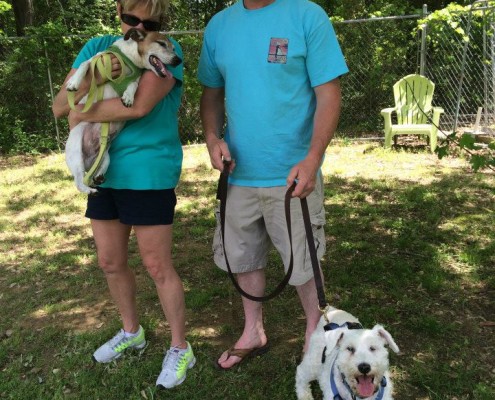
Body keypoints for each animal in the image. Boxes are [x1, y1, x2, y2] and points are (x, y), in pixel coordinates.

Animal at [65, 28, 181, 194]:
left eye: (174, 48)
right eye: (161, 44)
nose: (178, 60)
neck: (130, 59)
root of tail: (88, 160)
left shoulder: (136, 80)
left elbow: (133, 85)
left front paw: (128, 97)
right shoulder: (98, 59)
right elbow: (84, 64)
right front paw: (74, 82)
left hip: (106, 156)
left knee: (96, 171)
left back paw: (98, 177)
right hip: (76, 152)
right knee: (79, 182)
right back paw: (90, 190)